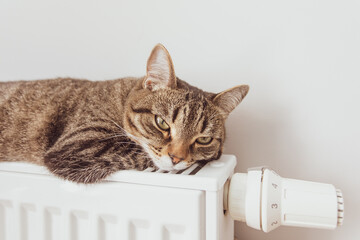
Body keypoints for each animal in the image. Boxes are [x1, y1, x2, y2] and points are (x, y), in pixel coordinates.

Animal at [0, 44, 248, 184]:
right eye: (162, 123)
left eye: (203, 139)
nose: (177, 158)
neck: (120, 101)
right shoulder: (76, 146)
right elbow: (136, 151)